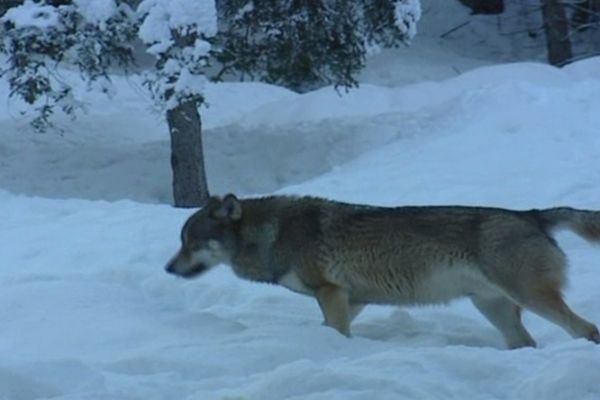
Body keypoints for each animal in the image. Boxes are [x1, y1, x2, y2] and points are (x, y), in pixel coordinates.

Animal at [164, 193, 600, 346]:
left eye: (190, 243)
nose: (168, 268)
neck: (272, 234)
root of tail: (532, 215)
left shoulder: (330, 292)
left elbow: (337, 332)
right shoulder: (351, 299)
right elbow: (332, 329)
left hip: (530, 298)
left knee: (586, 329)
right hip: (494, 309)